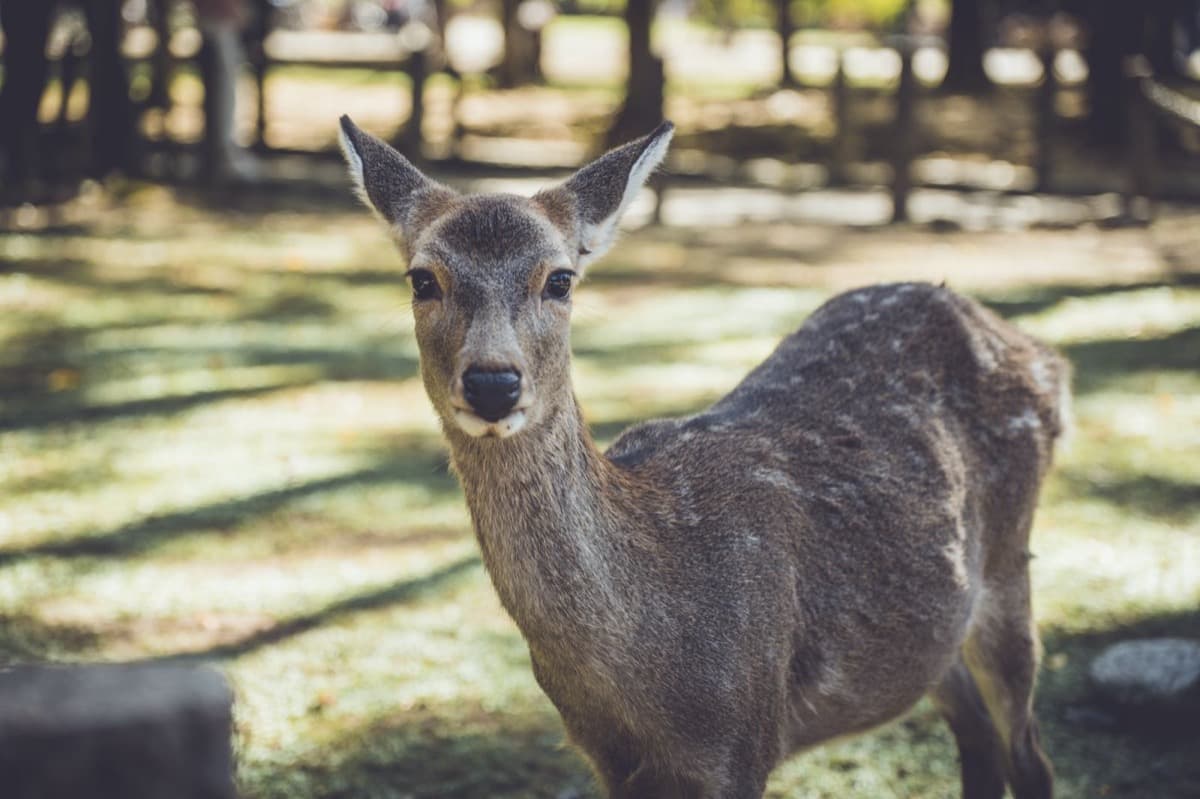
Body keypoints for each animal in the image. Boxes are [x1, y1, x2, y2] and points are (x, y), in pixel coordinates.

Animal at [337, 116, 1066, 799]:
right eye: (421, 279)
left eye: (561, 279)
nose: (493, 382)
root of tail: (1042, 354)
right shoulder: (609, 759)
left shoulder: (744, 738)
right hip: (937, 631)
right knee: (978, 737)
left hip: (1009, 566)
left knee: (1030, 753)